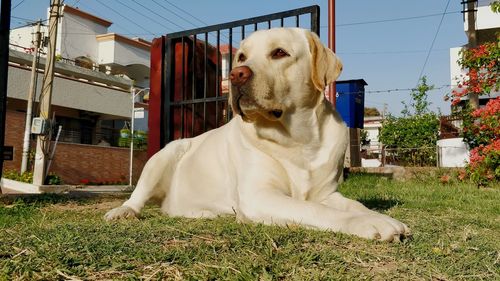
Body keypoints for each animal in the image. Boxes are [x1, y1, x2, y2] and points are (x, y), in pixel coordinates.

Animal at [105, 27, 410, 241]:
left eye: (279, 53)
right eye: (241, 57)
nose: (237, 74)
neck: (297, 139)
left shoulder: (327, 193)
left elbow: (354, 204)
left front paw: (375, 215)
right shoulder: (259, 195)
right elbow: (316, 210)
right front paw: (370, 223)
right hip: (164, 155)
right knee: (137, 196)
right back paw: (123, 211)